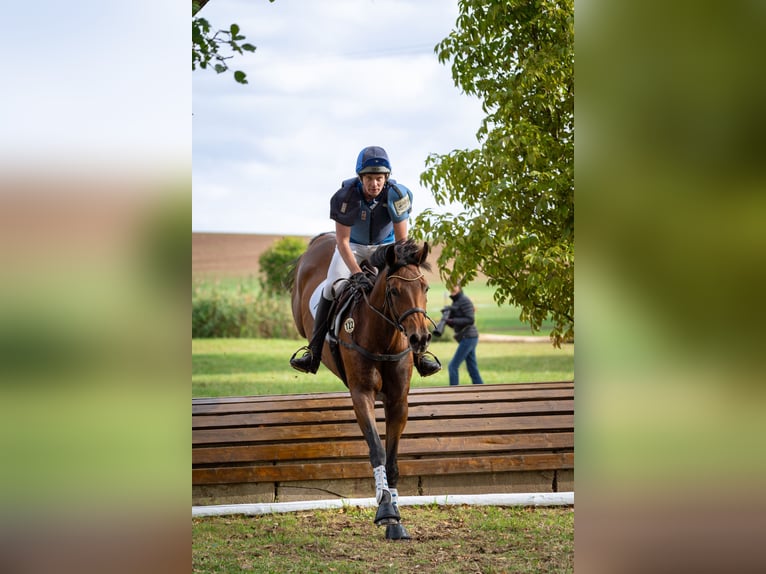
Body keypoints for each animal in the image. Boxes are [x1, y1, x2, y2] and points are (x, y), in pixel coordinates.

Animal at [289, 233, 434, 540]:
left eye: (425, 288)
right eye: (394, 291)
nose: (419, 339)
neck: (383, 338)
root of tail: (322, 239)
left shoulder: (398, 401)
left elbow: (392, 459)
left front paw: (396, 519)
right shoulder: (361, 395)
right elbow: (377, 449)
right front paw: (386, 509)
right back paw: (309, 356)